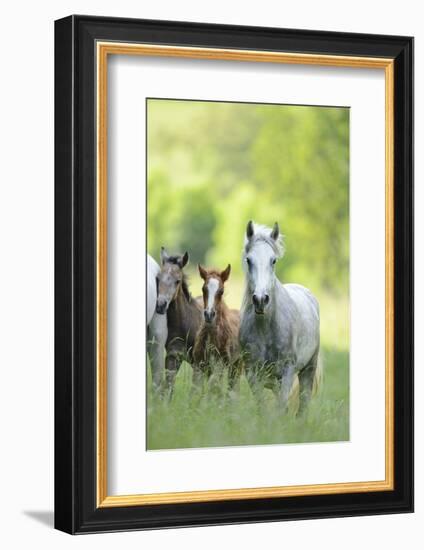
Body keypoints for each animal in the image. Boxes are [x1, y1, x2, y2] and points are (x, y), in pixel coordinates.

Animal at [240, 222, 320, 416]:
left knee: (303, 403)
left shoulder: (288, 371)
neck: (266, 328)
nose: (261, 300)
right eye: (249, 260)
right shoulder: (252, 372)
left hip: (308, 368)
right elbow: (263, 406)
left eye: (273, 260)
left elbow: (282, 406)